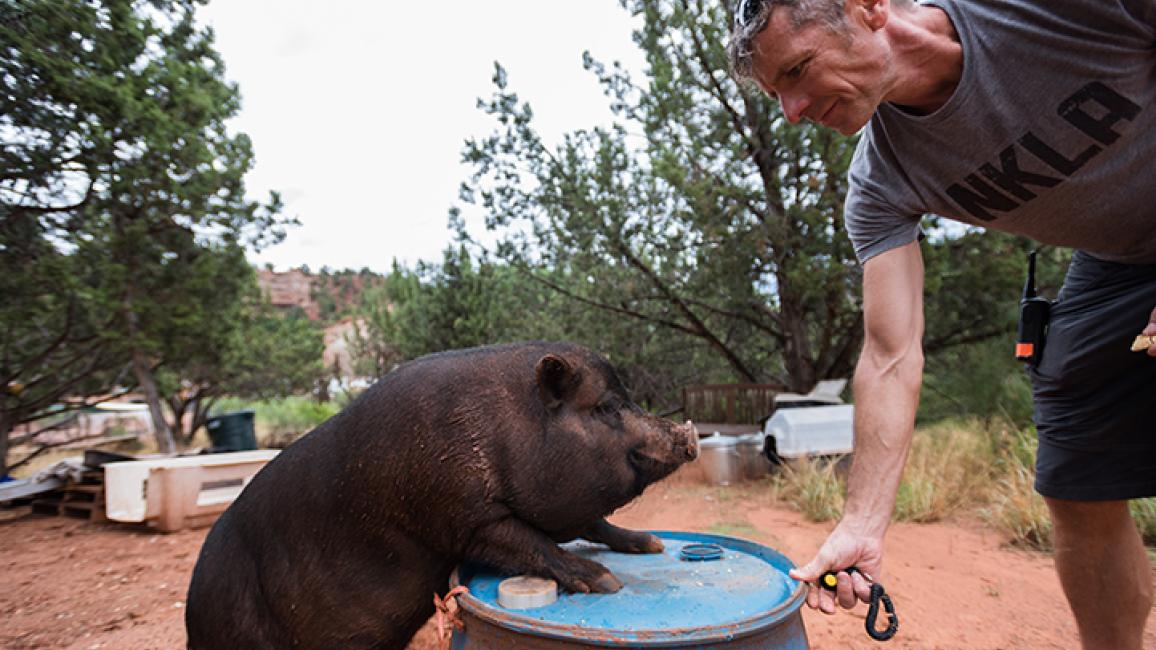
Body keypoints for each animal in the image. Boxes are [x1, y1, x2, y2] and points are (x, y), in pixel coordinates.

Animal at [185, 342, 699, 649]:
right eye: (607, 407)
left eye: (628, 399)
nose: (687, 435)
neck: (509, 428)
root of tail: (193, 619)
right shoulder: (464, 519)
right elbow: (532, 543)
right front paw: (608, 582)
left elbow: (596, 523)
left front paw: (650, 543)